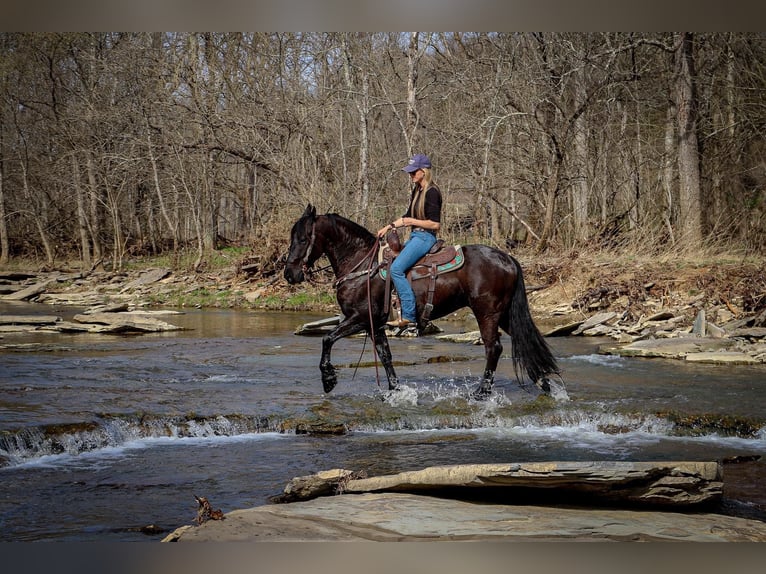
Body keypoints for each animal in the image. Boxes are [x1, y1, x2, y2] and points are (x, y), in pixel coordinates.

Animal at [284, 206, 560, 400]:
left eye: (302, 239)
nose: (290, 274)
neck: (361, 264)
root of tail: (508, 258)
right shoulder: (376, 325)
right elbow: (385, 356)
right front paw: (396, 390)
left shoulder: (359, 318)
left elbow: (326, 338)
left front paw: (329, 380)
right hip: (503, 314)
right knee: (524, 342)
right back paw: (544, 383)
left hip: (487, 313)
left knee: (494, 348)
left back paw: (482, 392)